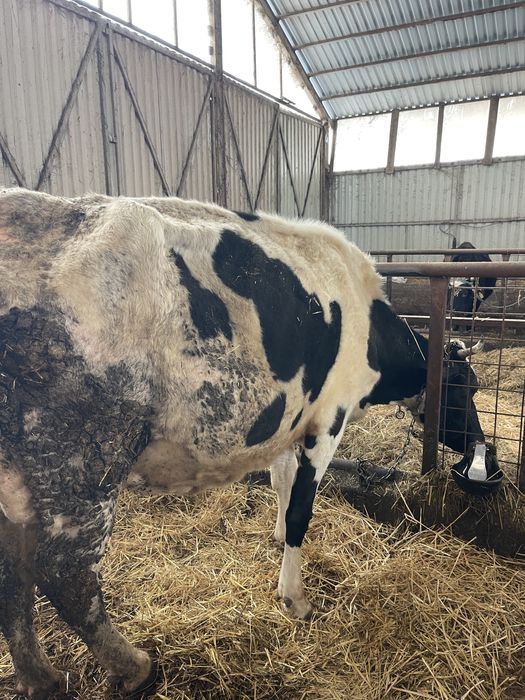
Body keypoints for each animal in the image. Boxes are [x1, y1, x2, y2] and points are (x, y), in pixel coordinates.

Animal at [0, 189, 492, 698]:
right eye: (465, 391)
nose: (478, 442)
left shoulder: (289, 420)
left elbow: (281, 483)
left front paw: (274, 538)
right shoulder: (328, 418)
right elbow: (300, 509)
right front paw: (295, 598)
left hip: (19, 474)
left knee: (12, 571)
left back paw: (40, 677)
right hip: (83, 452)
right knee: (65, 572)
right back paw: (134, 666)